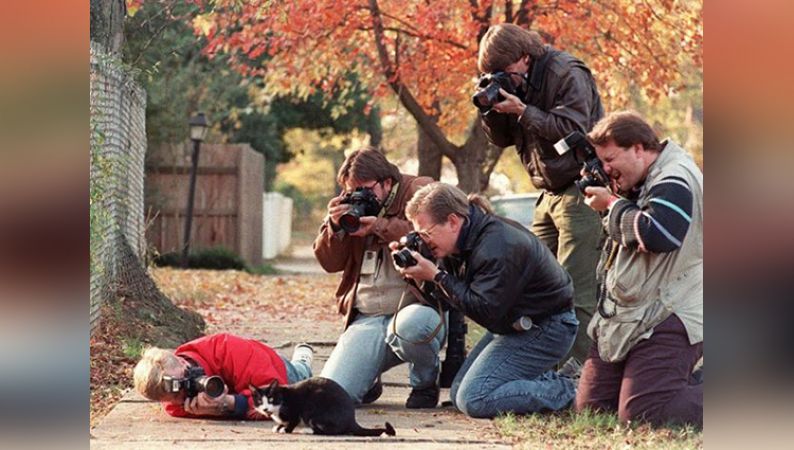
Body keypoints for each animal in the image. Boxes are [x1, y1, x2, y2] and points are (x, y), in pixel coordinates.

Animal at [249, 378, 394, 438]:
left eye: (271, 399)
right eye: (259, 401)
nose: (265, 409)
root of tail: (352, 420)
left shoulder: (295, 409)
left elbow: (293, 421)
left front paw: (285, 429)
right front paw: (279, 426)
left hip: (311, 409)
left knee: (332, 431)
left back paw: (307, 430)